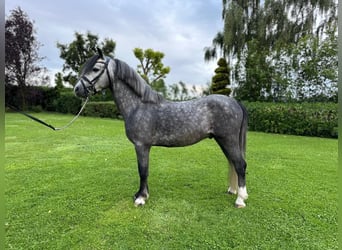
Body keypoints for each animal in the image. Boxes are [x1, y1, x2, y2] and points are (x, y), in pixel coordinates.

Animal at [73, 47, 248, 208]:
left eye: (95, 69)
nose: (77, 89)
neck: (138, 106)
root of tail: (235, 102)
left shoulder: (141, 146)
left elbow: (143, 170)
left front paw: (140, 198)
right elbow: (144, 171)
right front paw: (142, 194)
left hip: (228, 139)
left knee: (240, 164)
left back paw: (240, 199)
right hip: (222, 140)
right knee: (233, 162)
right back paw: (232, 190)